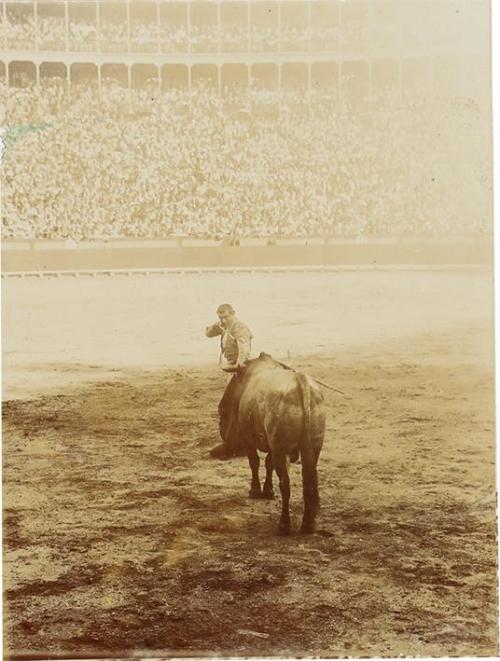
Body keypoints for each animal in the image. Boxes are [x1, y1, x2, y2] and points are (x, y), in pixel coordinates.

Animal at [221, 354, 326, 532]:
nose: (221, 406)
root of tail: (301, 381)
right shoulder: (272, 446)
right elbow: (268, 464)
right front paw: (268, 489)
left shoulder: (248, 438)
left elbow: (255, 462)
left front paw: (256, 490)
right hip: (312, 448)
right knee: (309, 480)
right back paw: (308, 523)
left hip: (281, 450)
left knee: (285, 483)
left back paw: (284, 524)